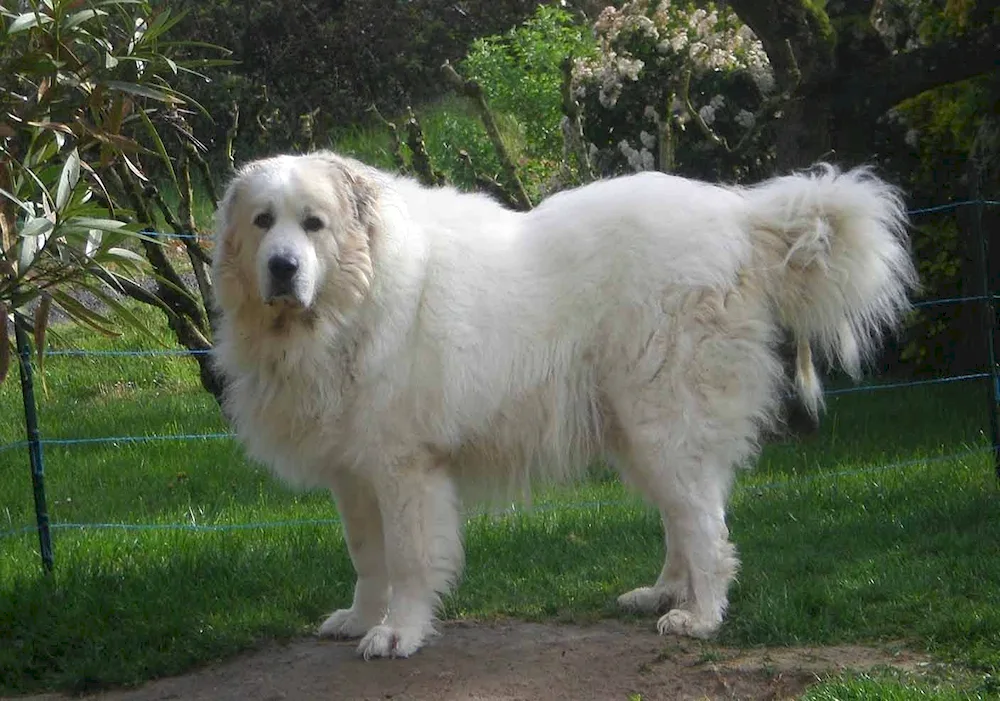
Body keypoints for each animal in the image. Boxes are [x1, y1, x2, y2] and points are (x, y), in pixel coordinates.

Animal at [209, 150, 916, 660]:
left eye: (315, 224)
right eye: (263, 222)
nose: (282, 267)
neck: (353, 301)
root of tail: (741, 218)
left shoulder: (404, 466)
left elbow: (407, 559)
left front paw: (397, 633)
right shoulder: (353, 472)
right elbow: (367, 557)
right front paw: (359, 618)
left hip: (663, 417)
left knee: (703, 524)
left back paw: (699, 616)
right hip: (637, 430)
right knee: (682, 514)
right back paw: (662, 593)